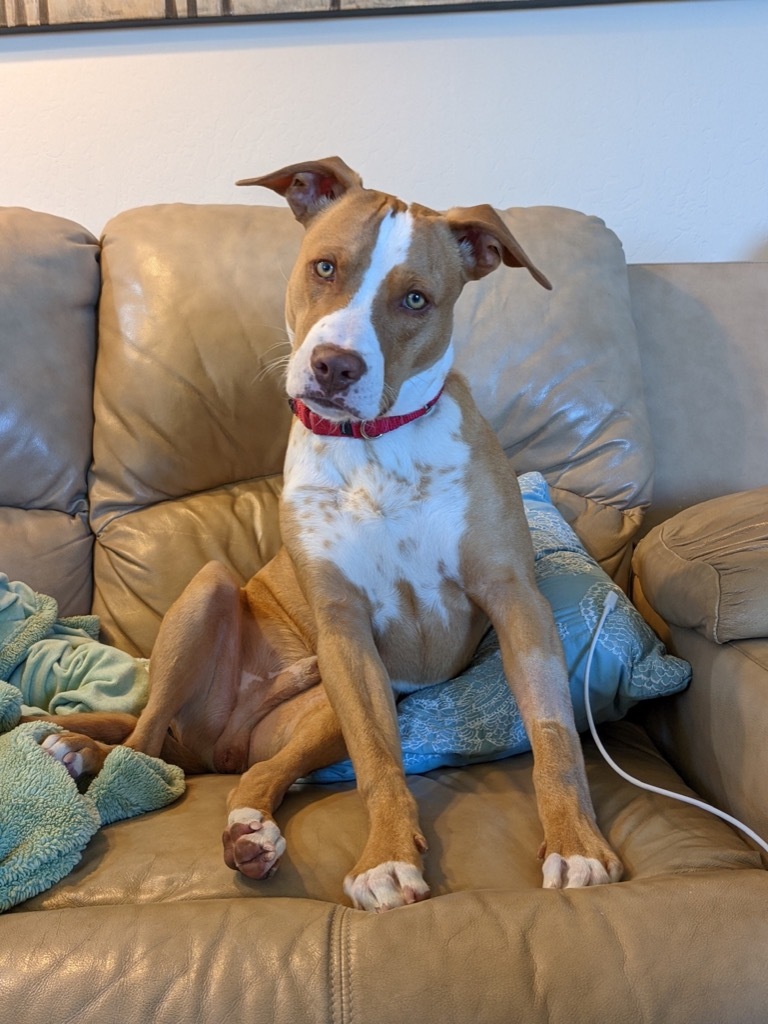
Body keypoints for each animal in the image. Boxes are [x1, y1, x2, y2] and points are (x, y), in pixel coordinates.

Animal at [39, 159, 622, 913]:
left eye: (415, 299)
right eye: (324, 266)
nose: (336, 366)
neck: (377, 445)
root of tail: (211, 742)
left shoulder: (515, 601)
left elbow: (554, 737)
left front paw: (575, 845)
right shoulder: (346, 632)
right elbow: (378, 759)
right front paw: (387, 858)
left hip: (311, 717)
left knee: (253, 774)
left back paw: (247, 831)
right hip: (213, 595)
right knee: (142, 736)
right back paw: (93, 756)